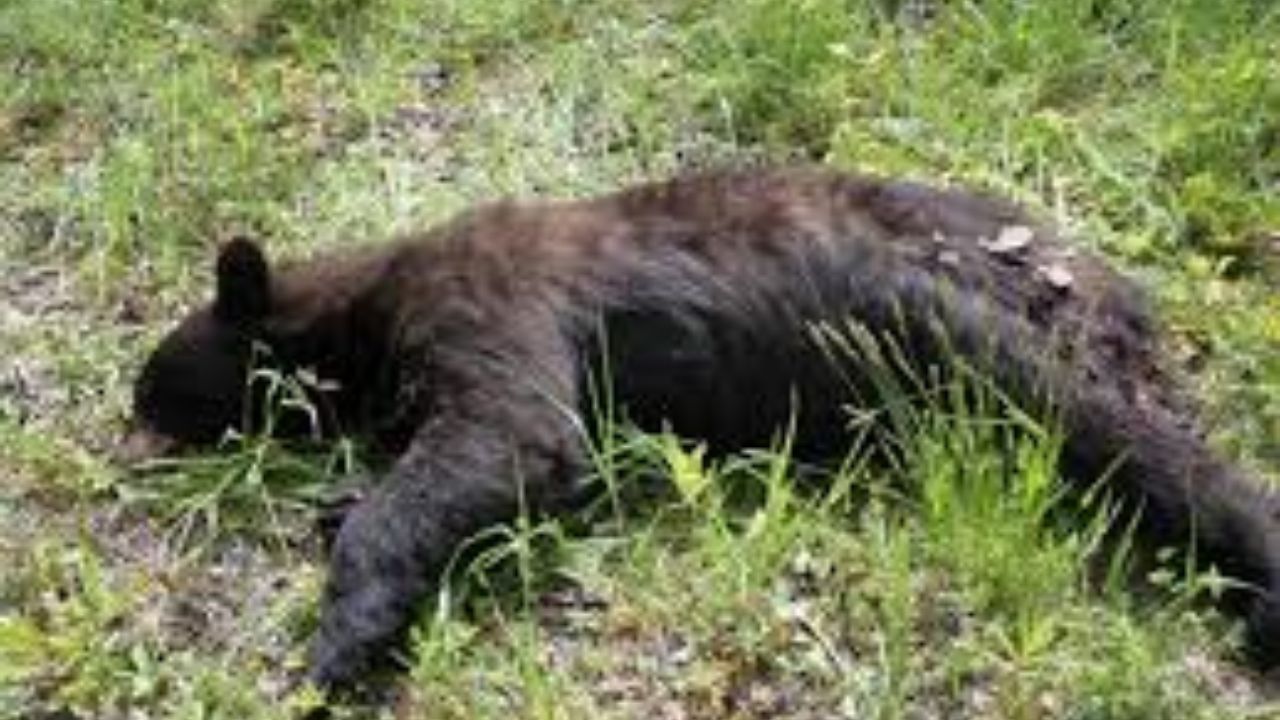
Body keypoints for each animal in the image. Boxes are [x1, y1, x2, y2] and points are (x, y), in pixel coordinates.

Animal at [124, 166, 1280, 690]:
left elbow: (511, 442)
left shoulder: (488, 310)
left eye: (156, 381)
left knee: (1162, 459)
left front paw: (346, 631)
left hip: (977, 345)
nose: (128, 426)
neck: (360, 308)